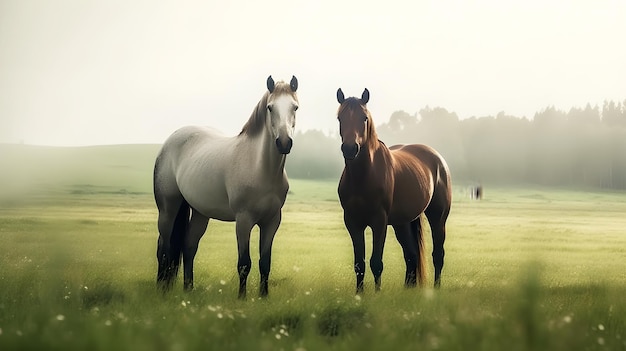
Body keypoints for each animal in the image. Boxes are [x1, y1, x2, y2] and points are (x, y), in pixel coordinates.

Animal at [152, 75, 298, 298]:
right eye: (270, 107)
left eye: (295, 107)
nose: (284, 142)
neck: (261, 168)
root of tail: (169, 142)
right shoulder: (243, 221)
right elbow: (244, 263)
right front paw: (242, 298)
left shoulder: (272, 222)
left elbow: (265, 262)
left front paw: (263, 297)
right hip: (168, 209)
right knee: (164, 248)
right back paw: (161, 289)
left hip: (200, 212)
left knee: (189, 247)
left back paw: (188, 289)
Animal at [336, 88, 448, 294]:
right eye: (340, 118)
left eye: (364, 118)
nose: (350, 148)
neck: (364, 175)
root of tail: (438, 159)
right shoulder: (353, 222)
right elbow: (359, 263)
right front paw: (359, 294)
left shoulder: (379, 222)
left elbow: (376, 262)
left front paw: (377, 294)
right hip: (401, 223)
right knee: (411, 255)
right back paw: (408, 290)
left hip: (438, 217)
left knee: (438, 254)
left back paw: (436, 288)